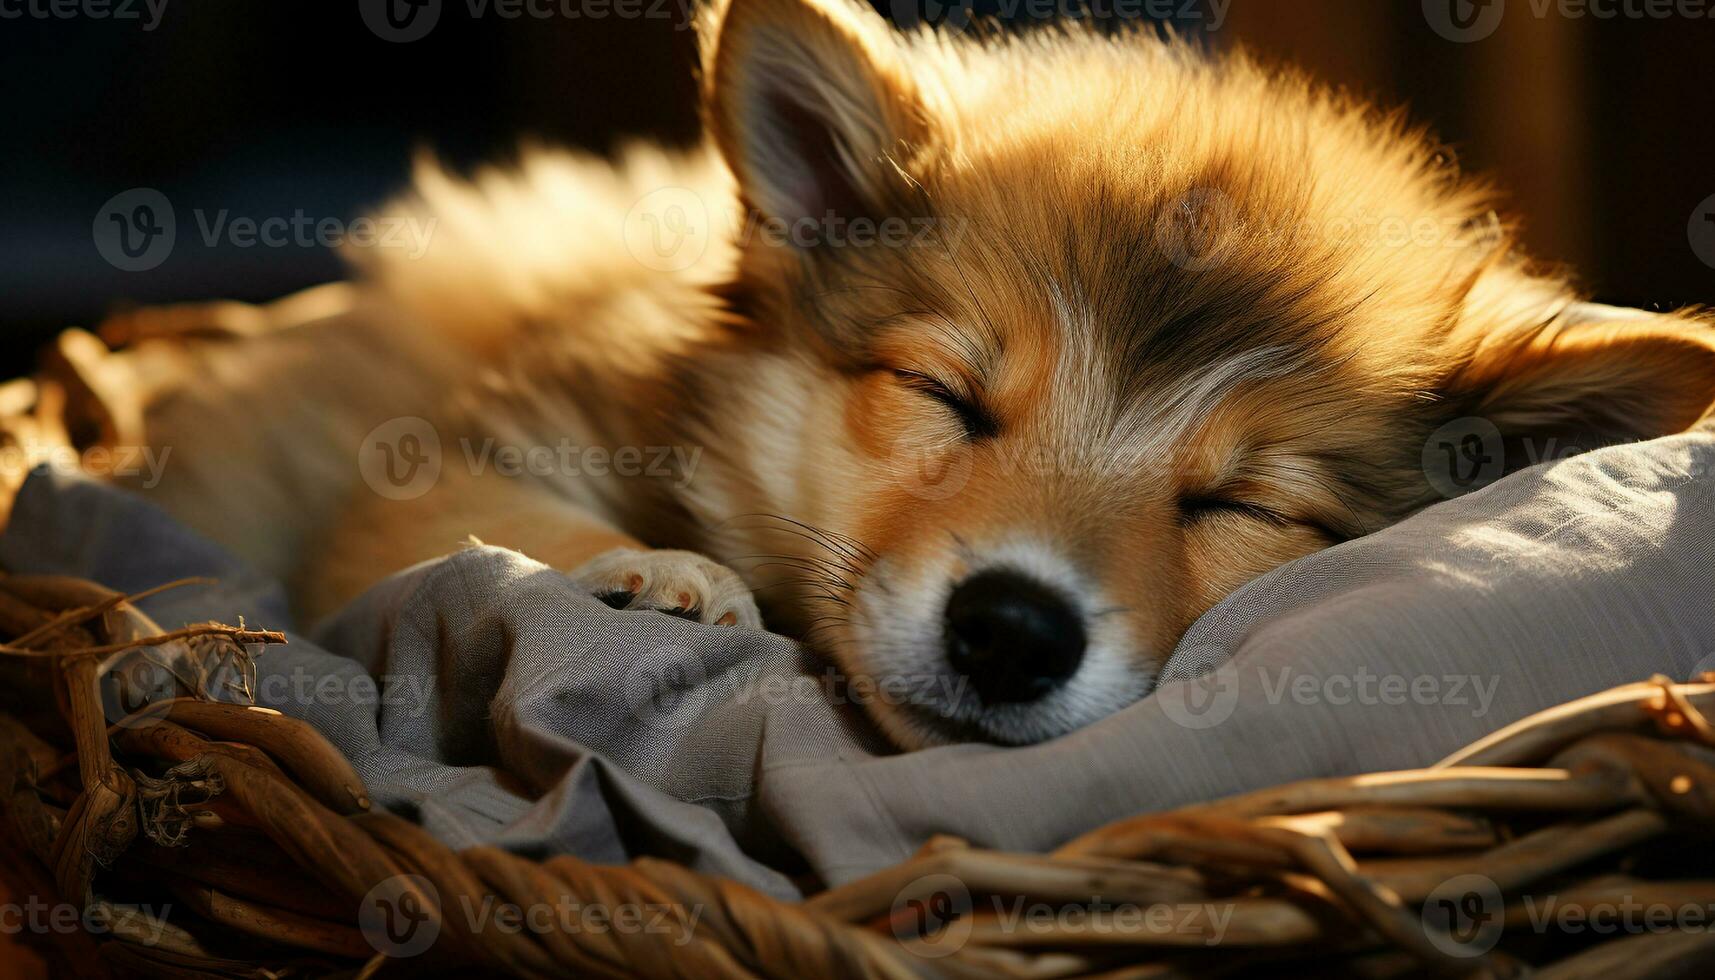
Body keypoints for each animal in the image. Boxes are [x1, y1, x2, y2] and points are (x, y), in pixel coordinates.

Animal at [120, 0, 1715, 748]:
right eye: (950, 398)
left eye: (1237, 505)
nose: (1008, 633)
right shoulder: (449, 452)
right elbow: (472, 528)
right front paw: (650, 576)